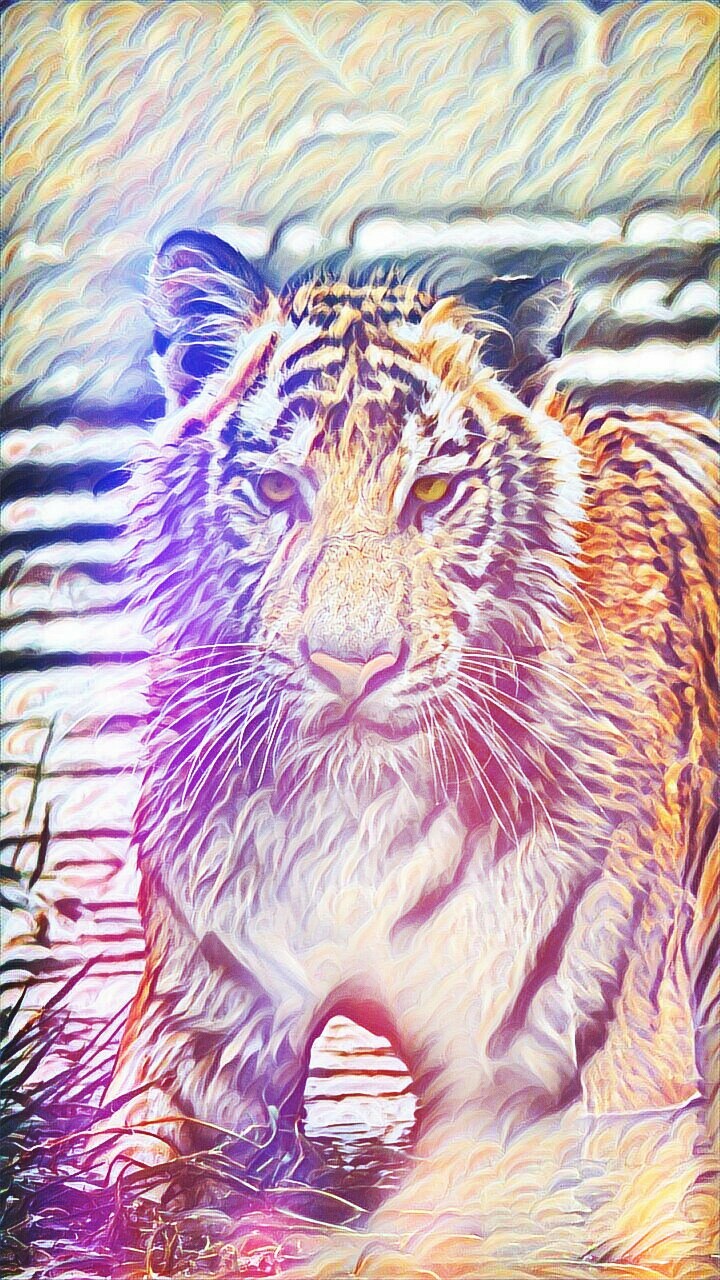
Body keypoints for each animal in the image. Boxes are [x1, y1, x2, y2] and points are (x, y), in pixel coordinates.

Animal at [102, 230, 718, 1278]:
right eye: (278, 489)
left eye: (431, 491)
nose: (353, 663)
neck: (354, 827)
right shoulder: (204, 1057)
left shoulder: (580, 1094)